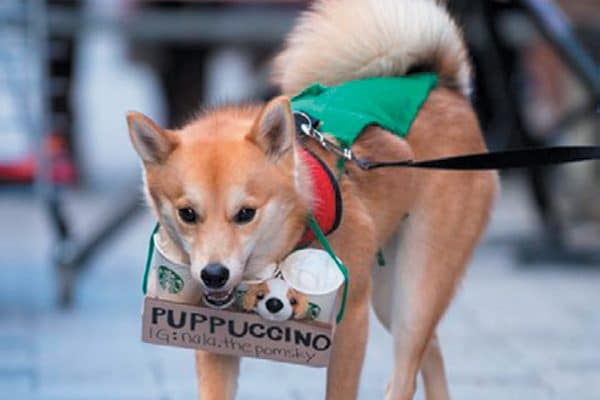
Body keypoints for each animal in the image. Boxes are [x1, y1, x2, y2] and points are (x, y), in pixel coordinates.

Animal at [126, 0, 496, 400]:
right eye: (188, 213)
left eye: (246, 213)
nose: (213, 274)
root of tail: (442, 85)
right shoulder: (212, 330)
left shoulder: (351, 321)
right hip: (389, 295)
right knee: (431, 351)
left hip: (416, 288)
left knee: (406, 372)